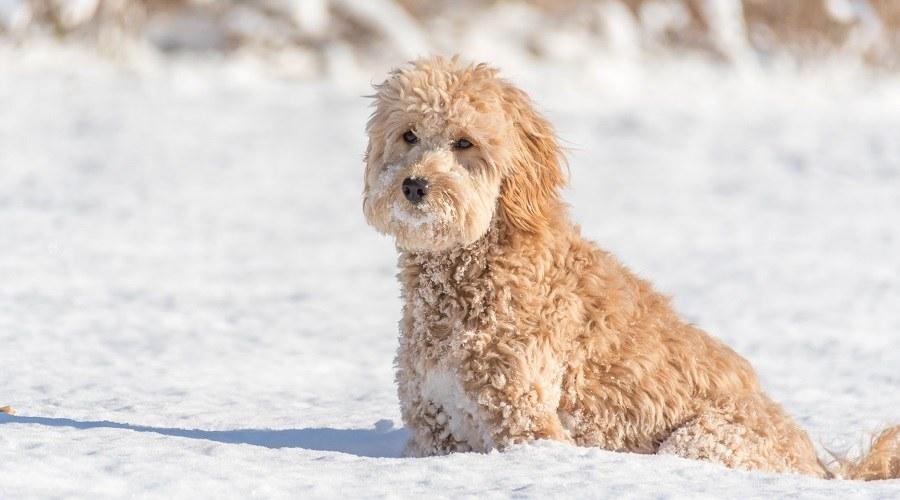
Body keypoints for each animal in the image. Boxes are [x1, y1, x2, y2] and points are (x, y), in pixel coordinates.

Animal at [362, 55, 896, 480]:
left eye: (464, 143)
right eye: (409, 135)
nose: (414, 186)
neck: (468, 273)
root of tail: (818, 467)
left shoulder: (526, 419)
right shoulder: (433, 424)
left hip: (700, 438)